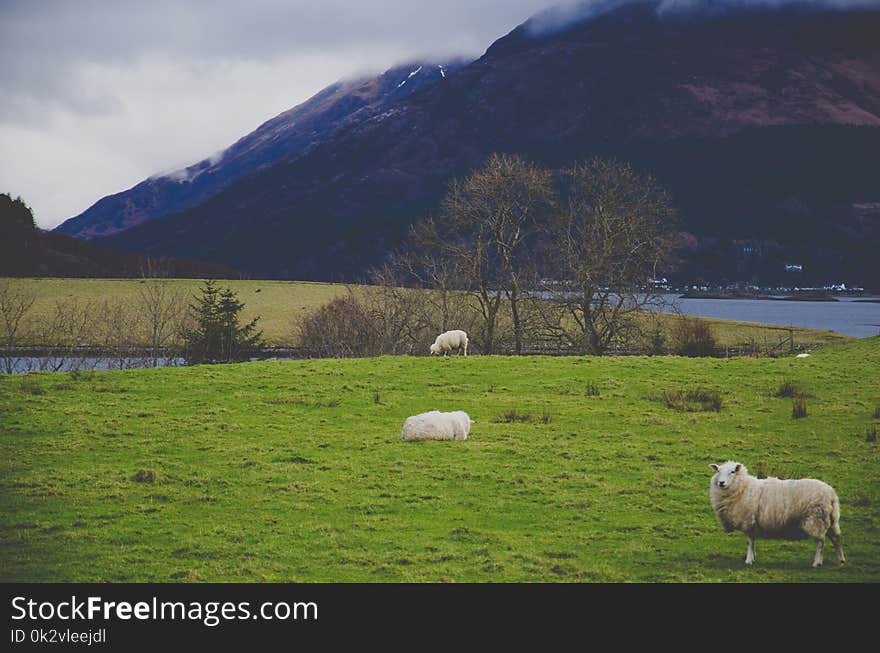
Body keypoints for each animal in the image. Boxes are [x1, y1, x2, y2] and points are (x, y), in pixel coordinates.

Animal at [708, 458, 844, 564]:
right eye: (718, 471)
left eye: (732, 472)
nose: (721, 483)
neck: (743, 488)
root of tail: (831, 494)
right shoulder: (754, 523)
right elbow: (753, 541)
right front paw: (753, 557)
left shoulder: (749, 521)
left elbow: (749, 541)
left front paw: (749, 560)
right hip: (831, 519)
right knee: (836, 538)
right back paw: (841, 561)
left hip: (816, 519)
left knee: (820, 542)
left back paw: (817, 563)